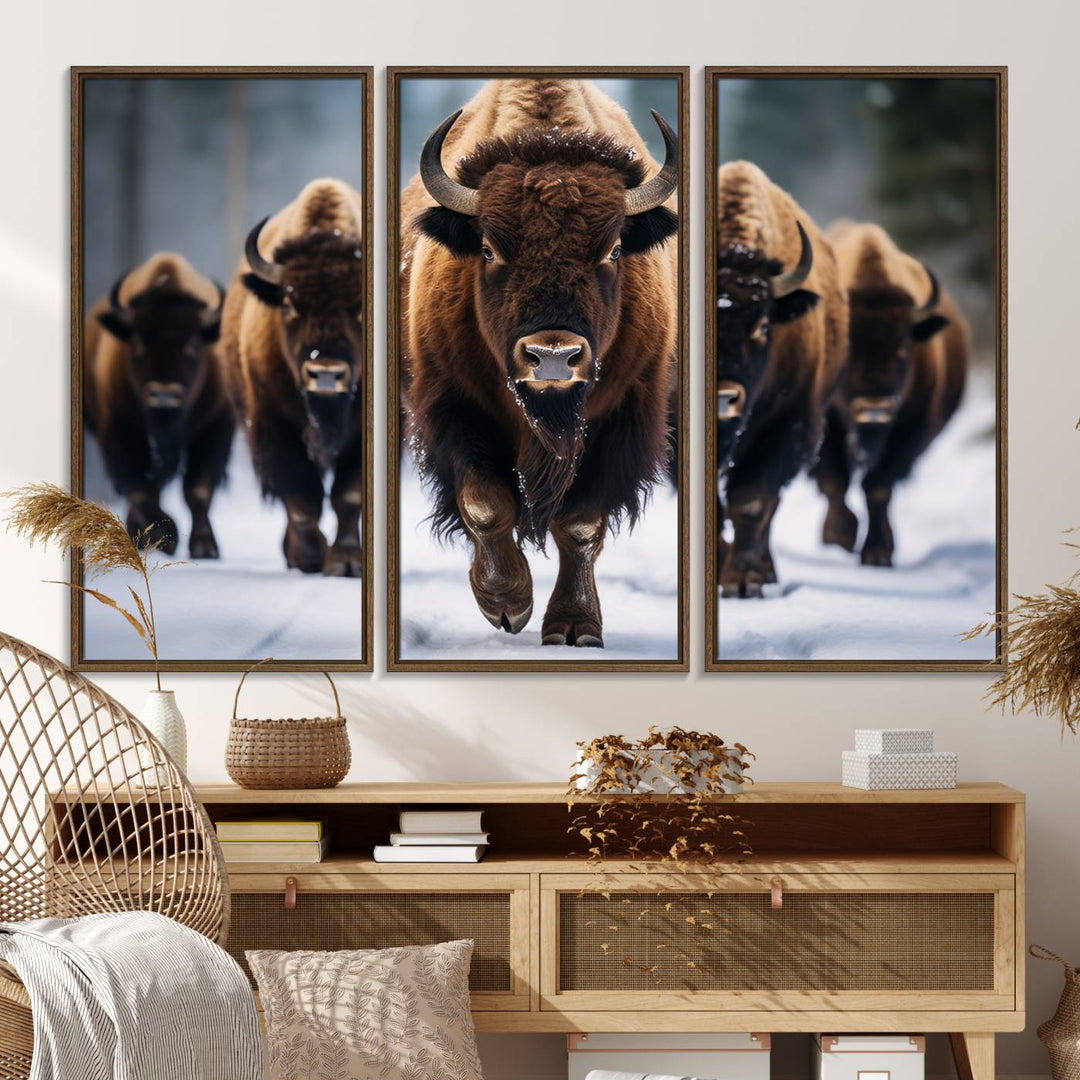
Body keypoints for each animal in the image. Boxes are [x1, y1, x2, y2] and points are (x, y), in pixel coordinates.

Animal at [85, 252, 233, 557]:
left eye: (194, 344)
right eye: (138, 344)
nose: (163, 395)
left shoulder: (215, 427)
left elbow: (197, 489)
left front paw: (205, 547)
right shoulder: (120, 431)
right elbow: (141, 488)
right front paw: (166, 536)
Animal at [219, 180, 367, 578]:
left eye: (361, 308)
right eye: (288, 305)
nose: (326, 373)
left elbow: (348, 495)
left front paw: (346, 561)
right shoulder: (276, 425)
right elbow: (302, 497)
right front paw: (312, 557)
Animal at [401, 82, 678, 648]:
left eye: (615, 250)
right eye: (488, 249)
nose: (552, 356)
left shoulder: (620, 419)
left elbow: (580, 524)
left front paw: (575, 626)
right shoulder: (454, 408)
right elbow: (485, 503)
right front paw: (507, 604)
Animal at [717, 160, 851, 600]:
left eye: (762, 326)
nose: (724, 398)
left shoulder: (783, 427)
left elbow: (752, 501)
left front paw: (744, 580)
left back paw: (766, 569)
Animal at [812, 223, 967, 570]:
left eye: (904, 346)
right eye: (848, 348)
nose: (874, 409)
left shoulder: (907, 431)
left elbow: (878, 488)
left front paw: (878, 552)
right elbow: (835, 481)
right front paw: (839, 537)